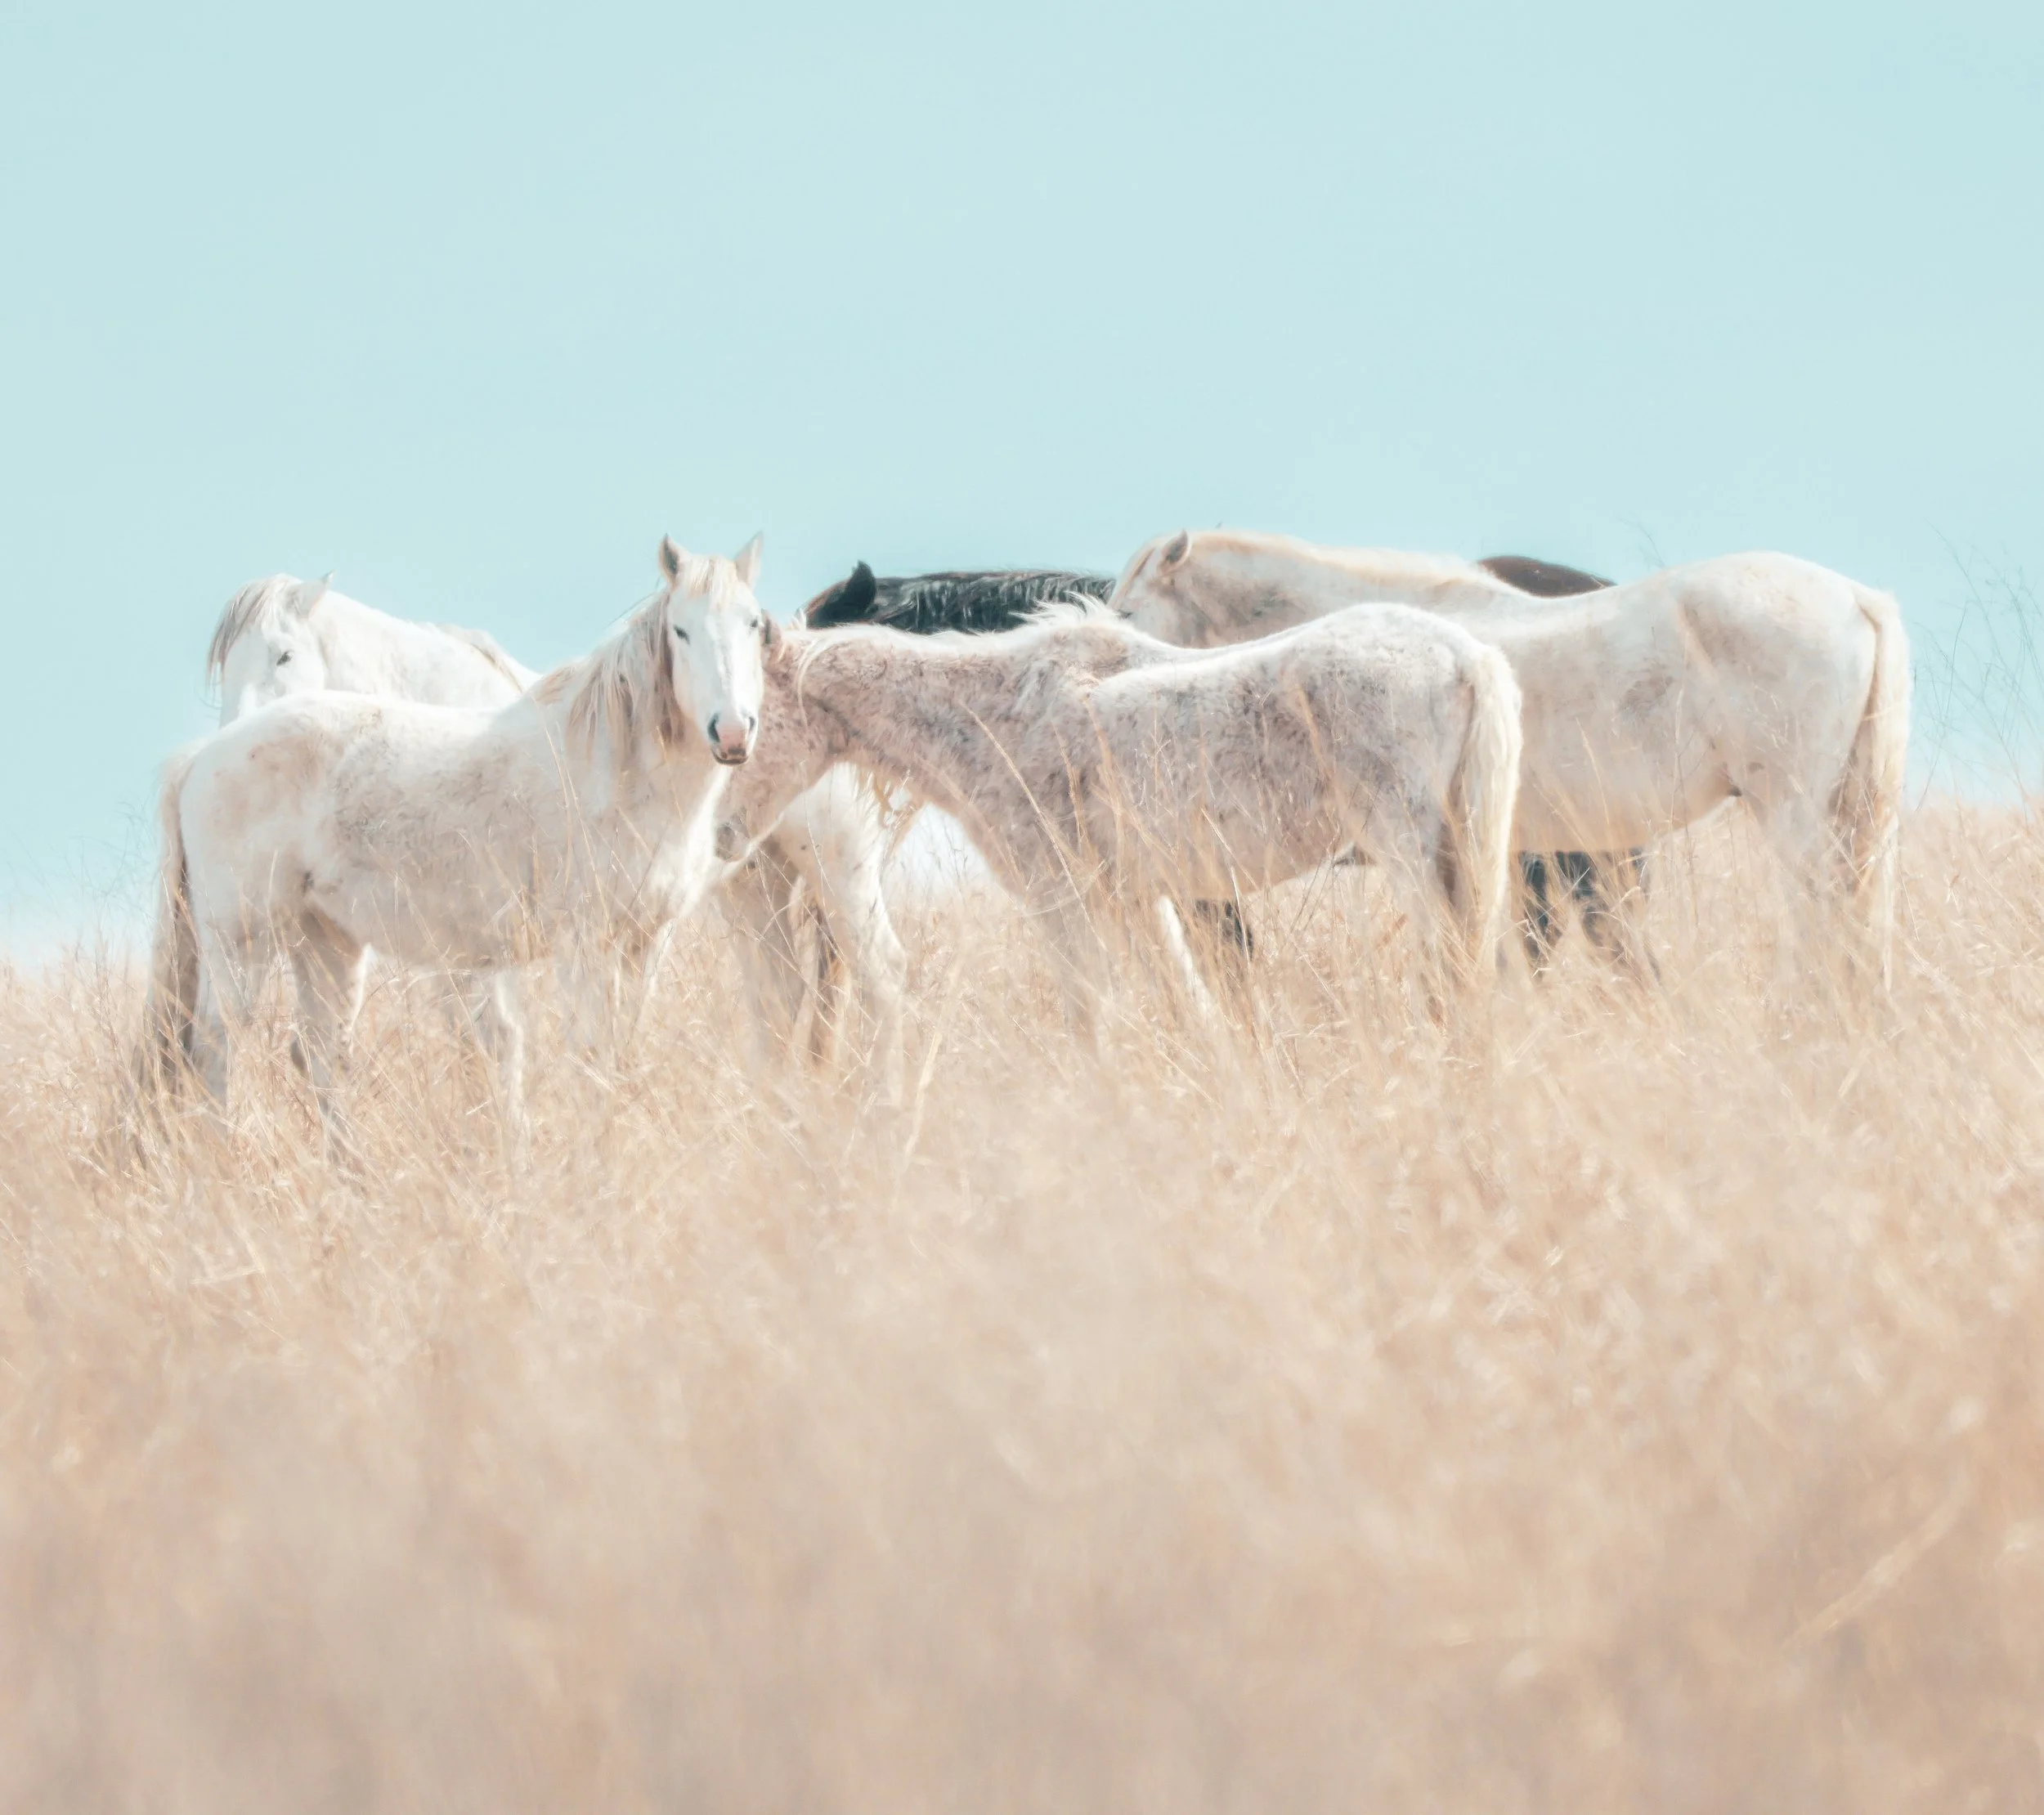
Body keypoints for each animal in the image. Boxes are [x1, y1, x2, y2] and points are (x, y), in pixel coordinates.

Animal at [144, 537, 774, 1146]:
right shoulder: (581, 945)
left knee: (322, 1051)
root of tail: (204, 755)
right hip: (240, 942)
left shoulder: (646, 940)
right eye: (681, 630)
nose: (732, 731)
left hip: (325, 942)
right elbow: (581, 1053)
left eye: (754, 625)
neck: (610, 768)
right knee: (218, 1050)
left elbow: (616, 1053)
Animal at [206, 558, 905, 1097]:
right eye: (224, 668)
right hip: (754, 889)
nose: (227, 742)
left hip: (840, 872)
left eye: (284, 654)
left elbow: (495, 1043)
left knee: (880, 979)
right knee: (784, 998)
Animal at [716, 603, 1524, 1040]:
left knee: (1447, 966)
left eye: (746, 726)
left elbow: (1090, 1016)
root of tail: (1467, 656)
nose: (720, 836)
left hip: (1408, 850)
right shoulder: (1139, 900)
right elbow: (1190, 1007)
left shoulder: (1063, 899)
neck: (994, 714)